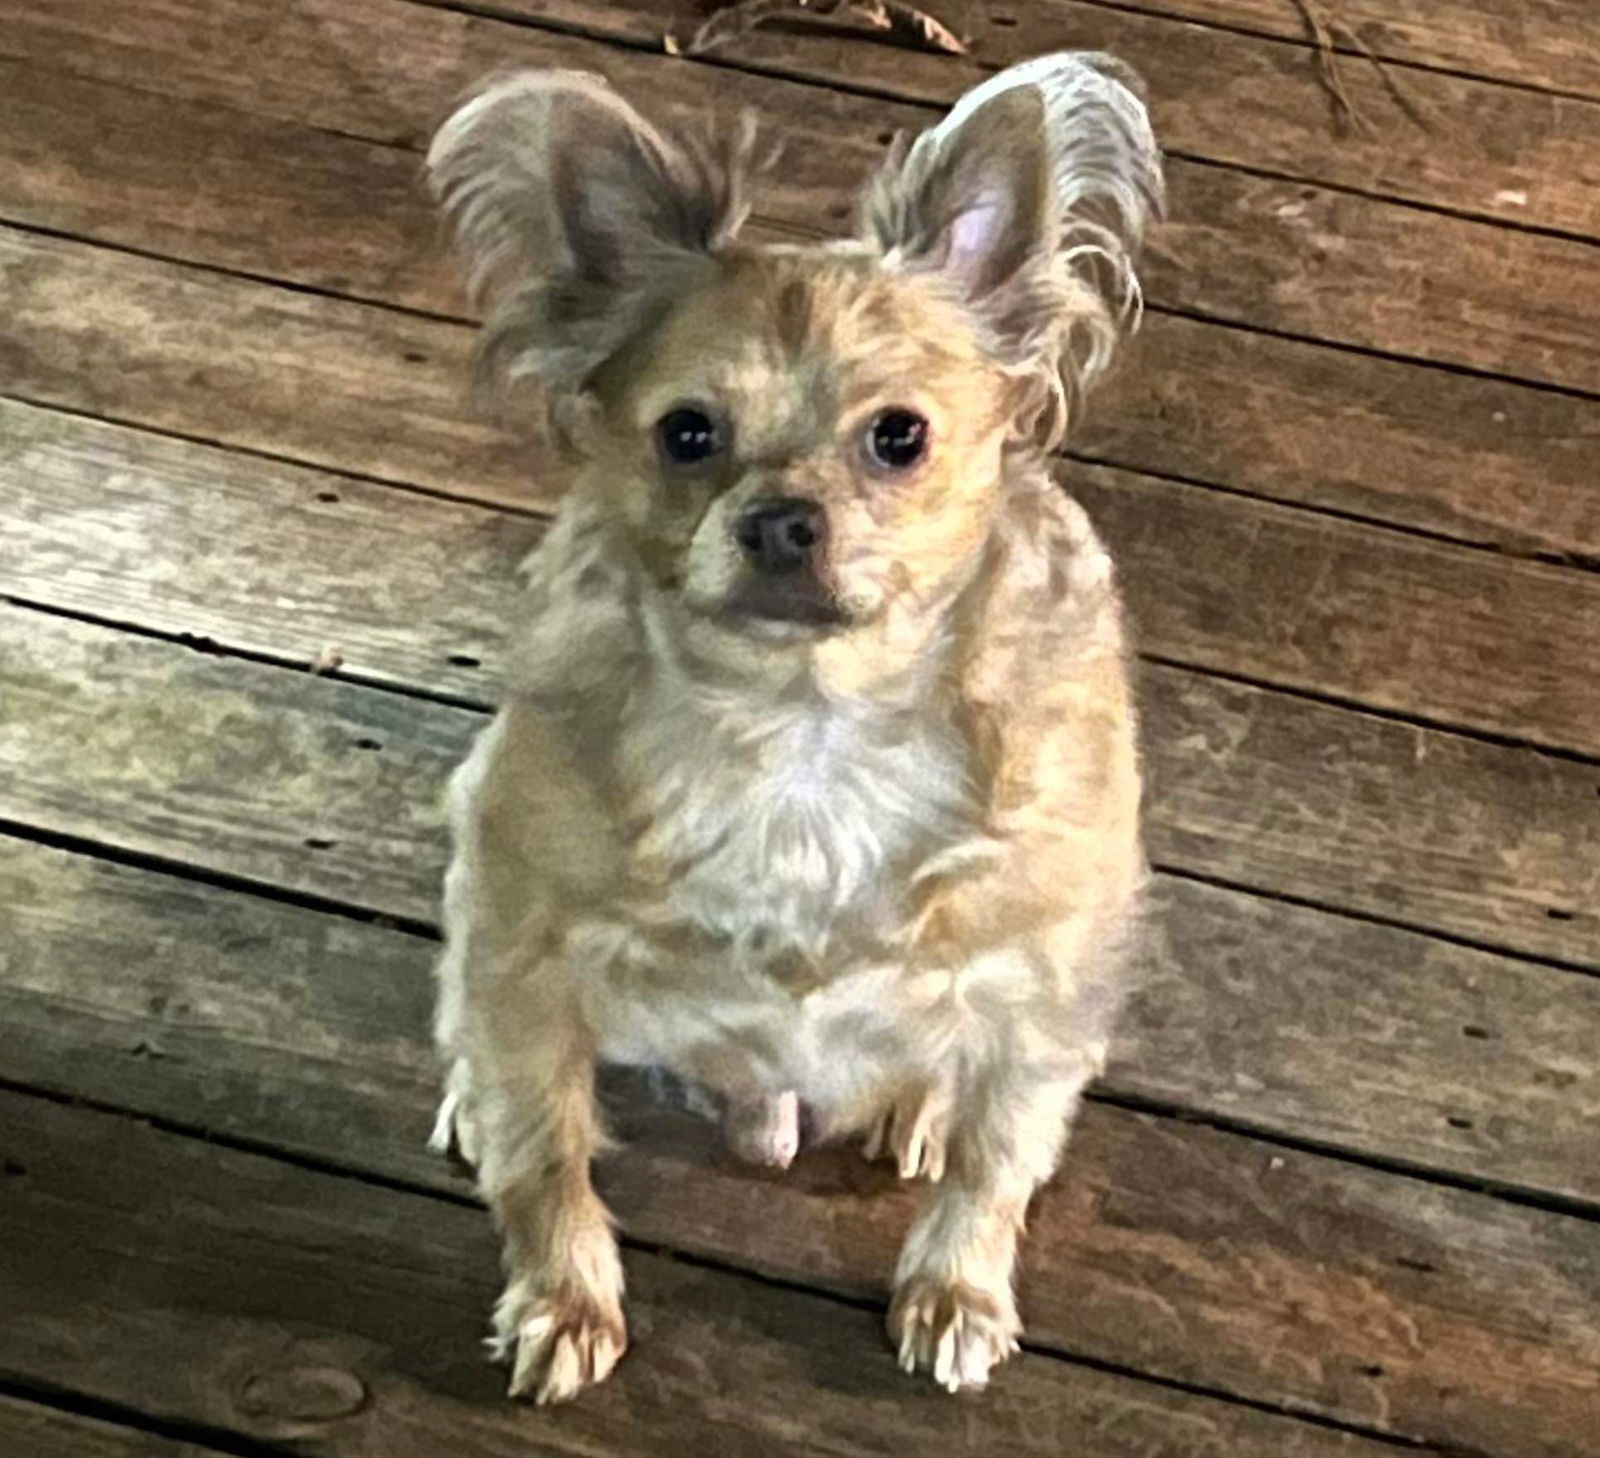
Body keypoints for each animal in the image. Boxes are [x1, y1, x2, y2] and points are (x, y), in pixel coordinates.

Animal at [428, 54, 1164, 1401]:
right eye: (686, 434)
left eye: (899, 436)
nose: (779, 517)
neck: (802, 729)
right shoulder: (523, 933)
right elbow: (542, 1147)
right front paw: (561, 1297)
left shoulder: (1048, 989)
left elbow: (998, 1159)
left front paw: (955, 1288)